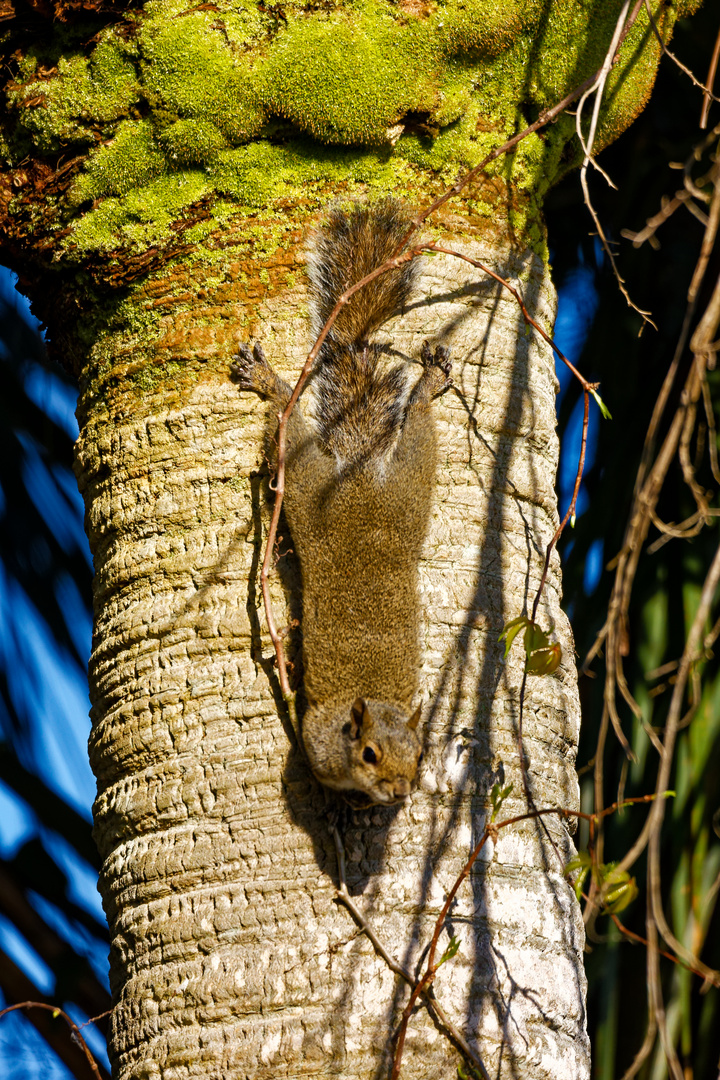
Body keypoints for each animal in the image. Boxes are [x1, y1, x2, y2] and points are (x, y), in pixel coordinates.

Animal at [234, 203, 453, 807]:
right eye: (369, 754)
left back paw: (429, 380)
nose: (400, 793)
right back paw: (270, 382)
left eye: (420, 755)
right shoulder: (312, 734)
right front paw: (345, 806)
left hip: (408, 490)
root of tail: (356, 480)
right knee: (288, 421)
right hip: (311, 487)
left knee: (416, 423)